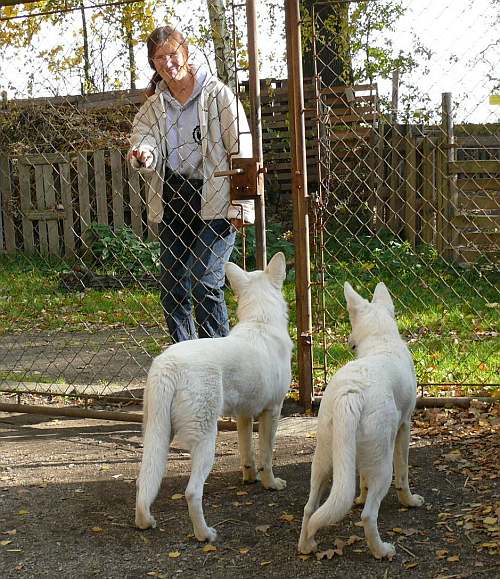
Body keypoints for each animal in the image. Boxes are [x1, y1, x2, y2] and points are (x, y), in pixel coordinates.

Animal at [136, 253, 292, 544]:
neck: (261, 321)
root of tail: (169, 365)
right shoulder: (272, 411)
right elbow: (266, 456)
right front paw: (270, 484)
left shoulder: (244, 416)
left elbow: (247, 453)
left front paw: (249, 478)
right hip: (206, 441)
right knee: (192, 492)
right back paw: (205, 534)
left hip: (157, 436)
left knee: (144, 482)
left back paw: (145, 521)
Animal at [298, 284, 424, 560]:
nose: (349, 342)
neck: (381, 340)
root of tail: (351, 393)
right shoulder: (404, 428)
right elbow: (403, 474)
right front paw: (410, 501)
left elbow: (362, 479)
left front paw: (360, 496)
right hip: (383, 466)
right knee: (369, 515)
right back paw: (381, 550)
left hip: (323, 462)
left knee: (309, 508)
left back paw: (306, 546)